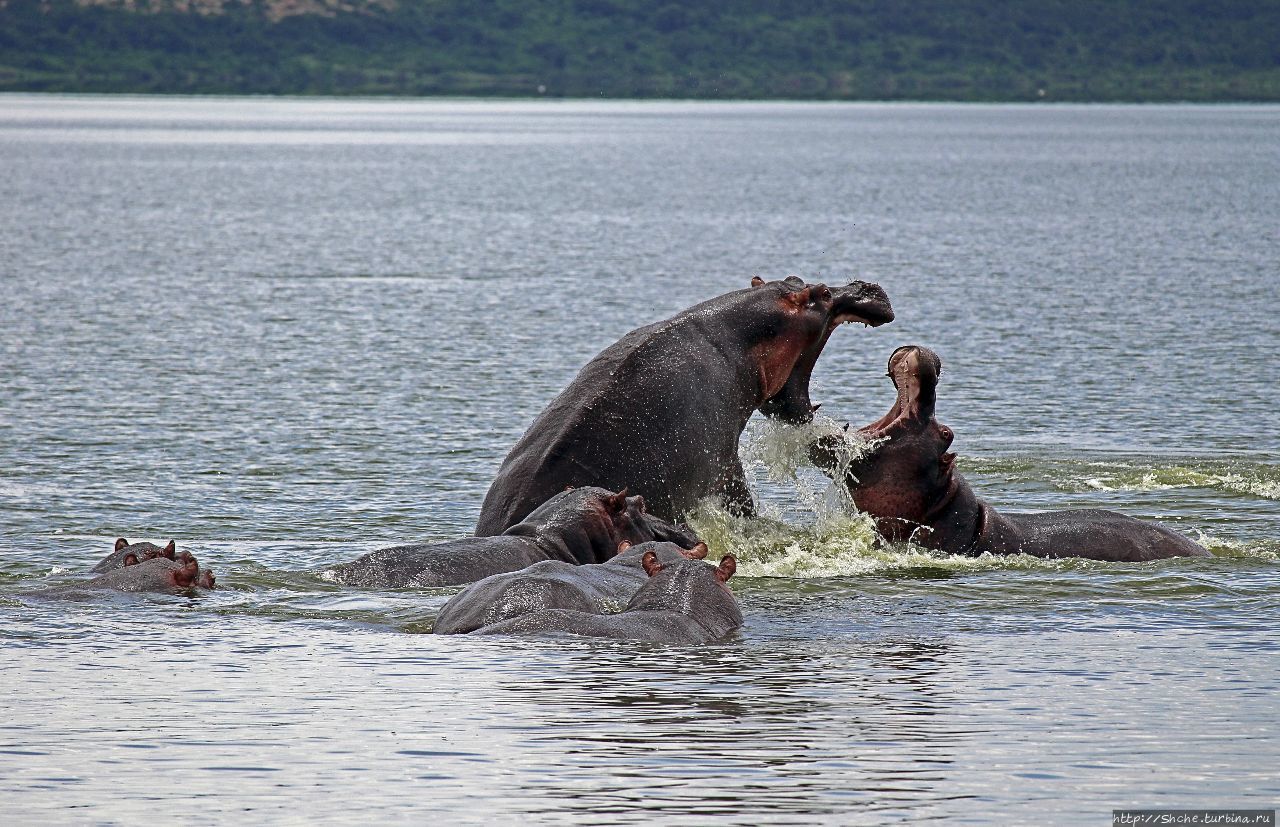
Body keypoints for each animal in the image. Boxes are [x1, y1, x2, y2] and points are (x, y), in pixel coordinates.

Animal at [476, 276, 896, 537]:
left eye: (795, 276)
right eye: (821, 293)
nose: (866, 285)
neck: (734, 338)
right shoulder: (723, 463)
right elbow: (744, 505)